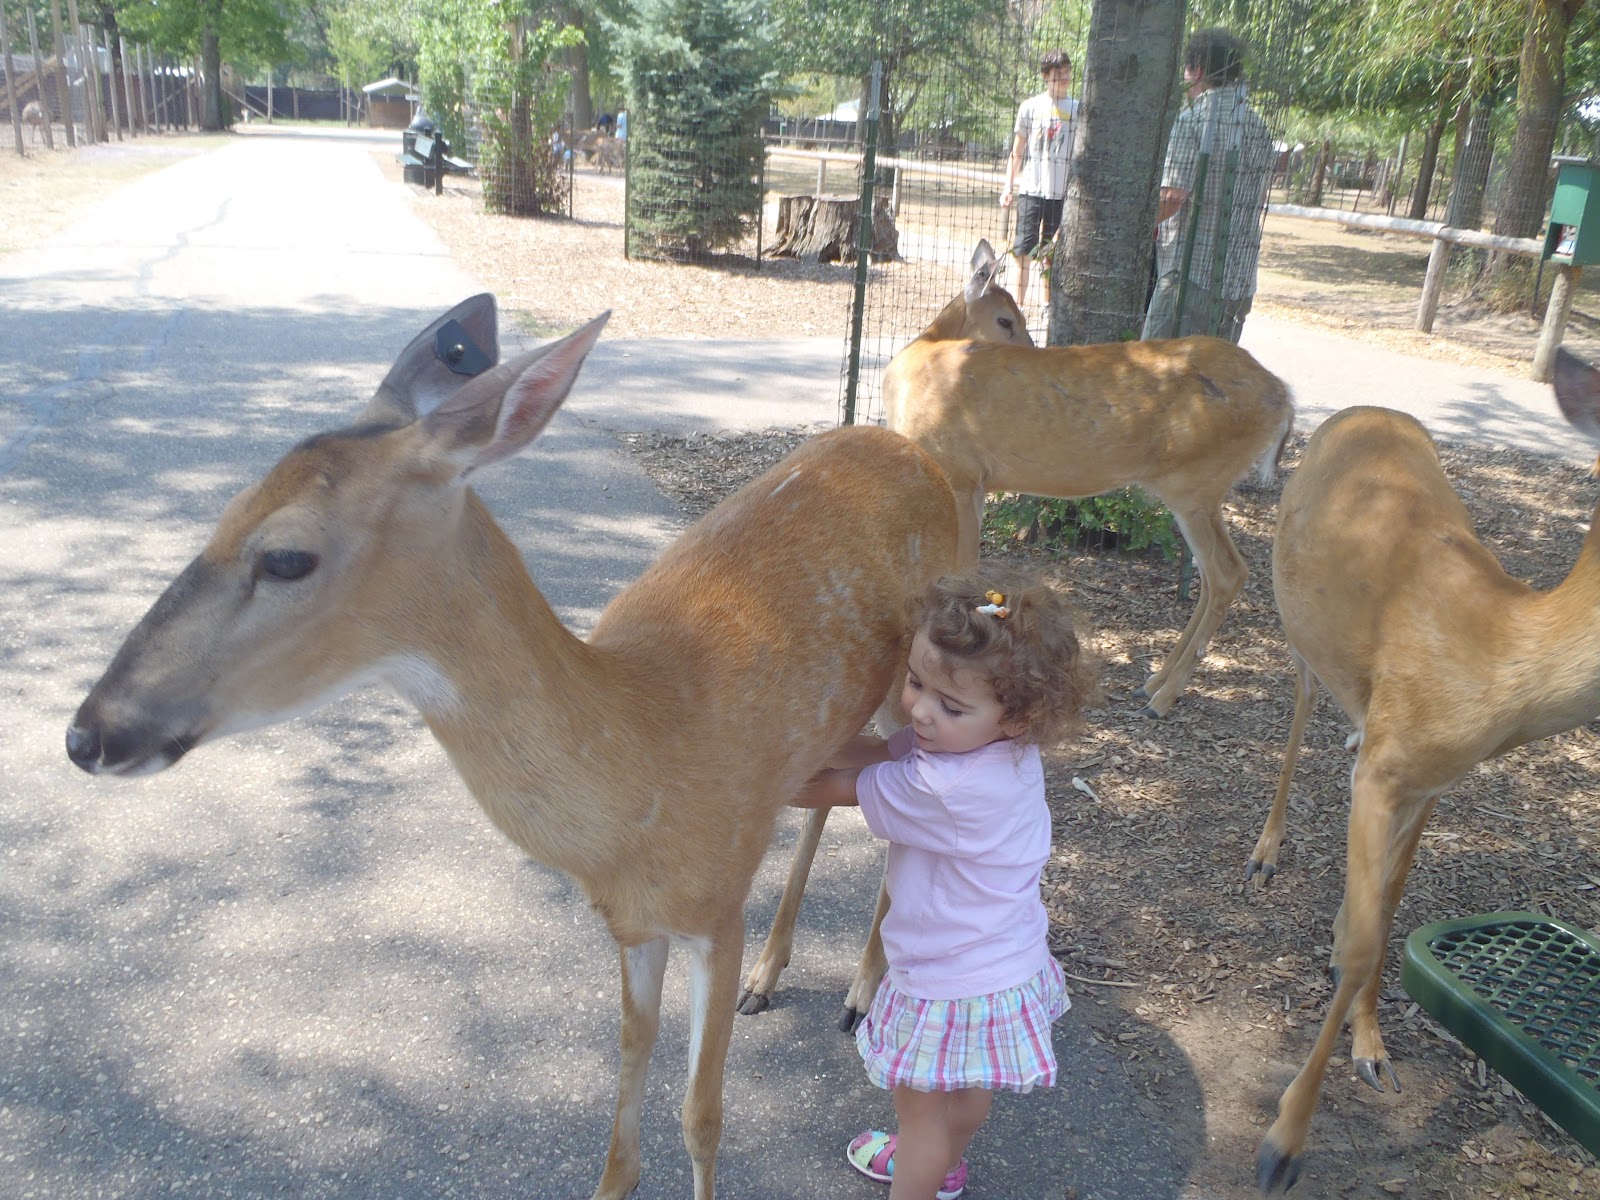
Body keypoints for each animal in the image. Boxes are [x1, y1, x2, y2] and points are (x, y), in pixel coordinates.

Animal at [65, 294, 960, 1200]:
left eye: (287, 556)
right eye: (223, 514)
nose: (87, 733)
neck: (649, 756)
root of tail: (911, 446)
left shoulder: (717, 907)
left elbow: (702, 1118)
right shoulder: (631, 923)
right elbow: (627, 1085)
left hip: (915, 676)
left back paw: (859, 989)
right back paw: (772, 977)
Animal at [737, 237, 1294, 1028]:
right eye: (1006, 316)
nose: (1032, 345)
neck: (922, 358)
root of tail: (1286, 399)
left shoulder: (964, 471)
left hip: (1193, 481)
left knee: (1230, 571)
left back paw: (1164, 693)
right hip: (1194, 486)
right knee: (1227, 572)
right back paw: (1155, 679)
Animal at [1249, 350, 1600, 1195]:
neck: (1497, 662)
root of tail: (1360, 409)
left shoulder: (1434, 782)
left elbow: (1389, 907)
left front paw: (1373, 1048)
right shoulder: (1388, 770)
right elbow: (1363, 943)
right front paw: (1284, 1143)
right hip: (1297, 619)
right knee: (1300, 708)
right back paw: (1266, 852)